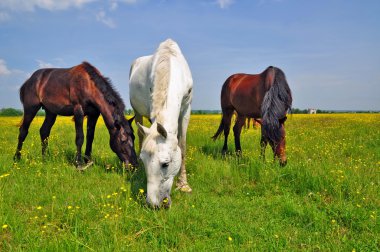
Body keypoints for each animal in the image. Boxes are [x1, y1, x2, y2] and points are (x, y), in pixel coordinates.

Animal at [129, 39, 193, 209]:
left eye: (165, 164)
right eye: (144, 161)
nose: (153, 204)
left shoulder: (186, 109)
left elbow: (182, 146)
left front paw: (183, 185)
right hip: (137, 112)